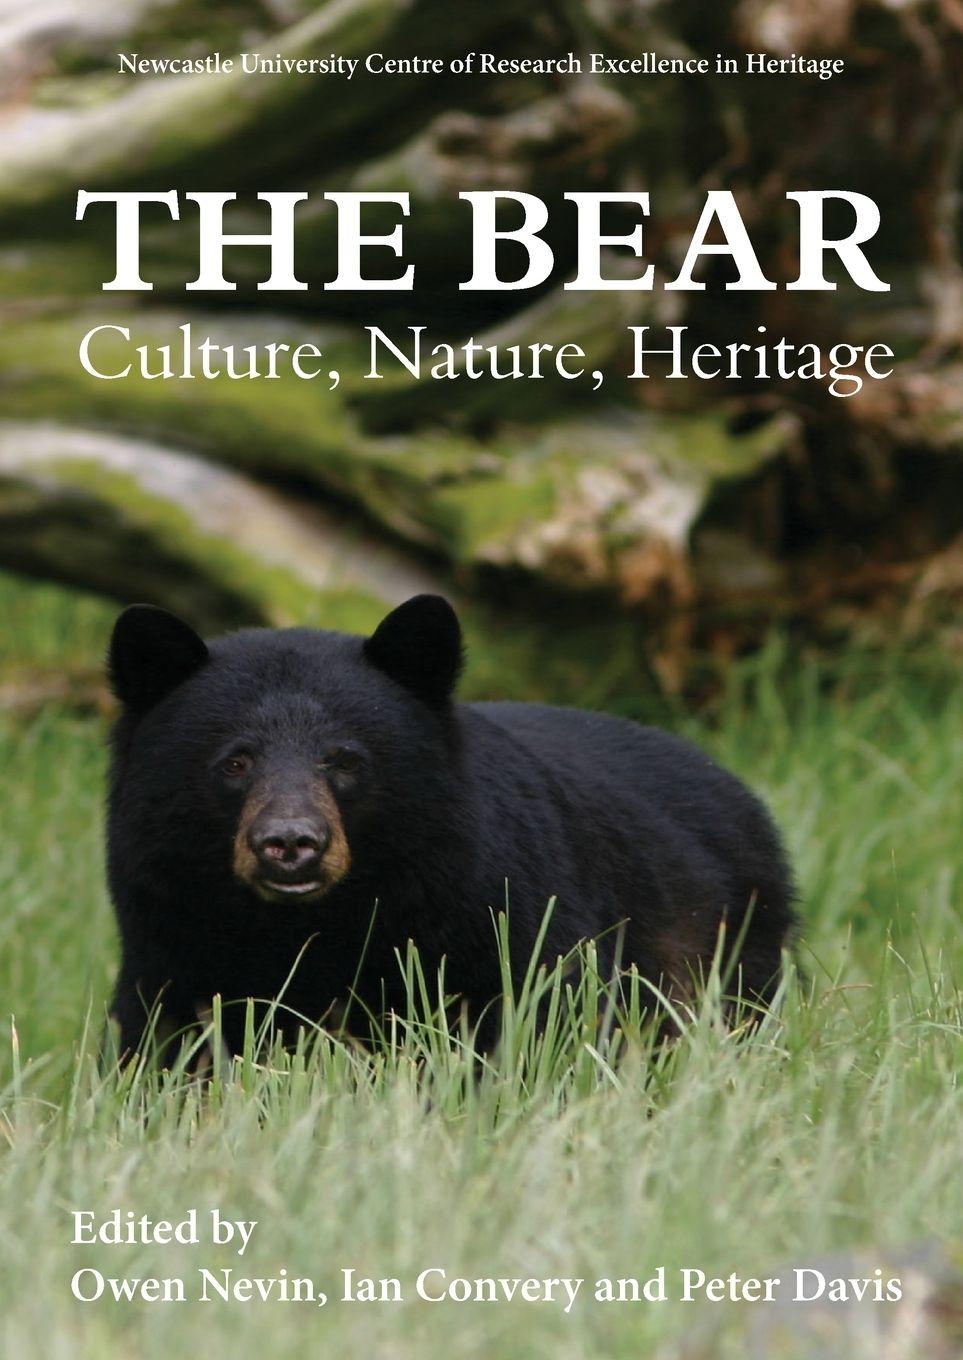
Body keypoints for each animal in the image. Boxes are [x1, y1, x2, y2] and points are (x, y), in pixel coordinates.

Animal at [105, 594, 796, 1062]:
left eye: (346, 760)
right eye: (236, 761)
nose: (291, 844)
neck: (312, 923)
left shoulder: (491, 910)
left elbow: (538, 1014)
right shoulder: (172, 931)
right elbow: (171, 1041)